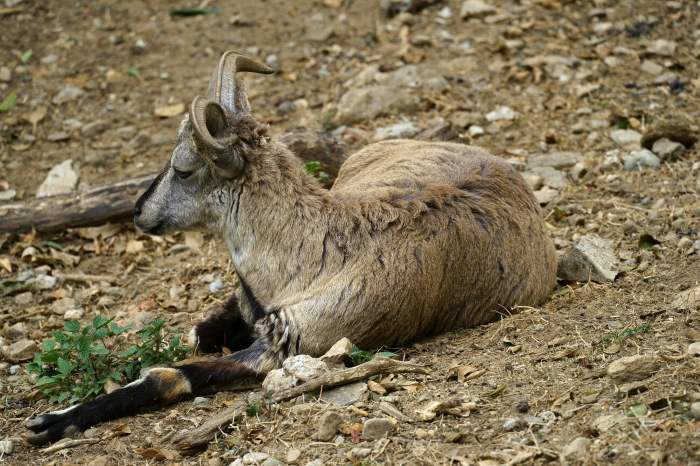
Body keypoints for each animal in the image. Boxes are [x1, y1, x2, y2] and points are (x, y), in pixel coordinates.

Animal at [24, 51, 556, 444]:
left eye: (184, 169)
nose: (139, 211)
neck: (314, 252)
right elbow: (199, 333)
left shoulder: (292, 343)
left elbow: (171, 374)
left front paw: (52, 421)